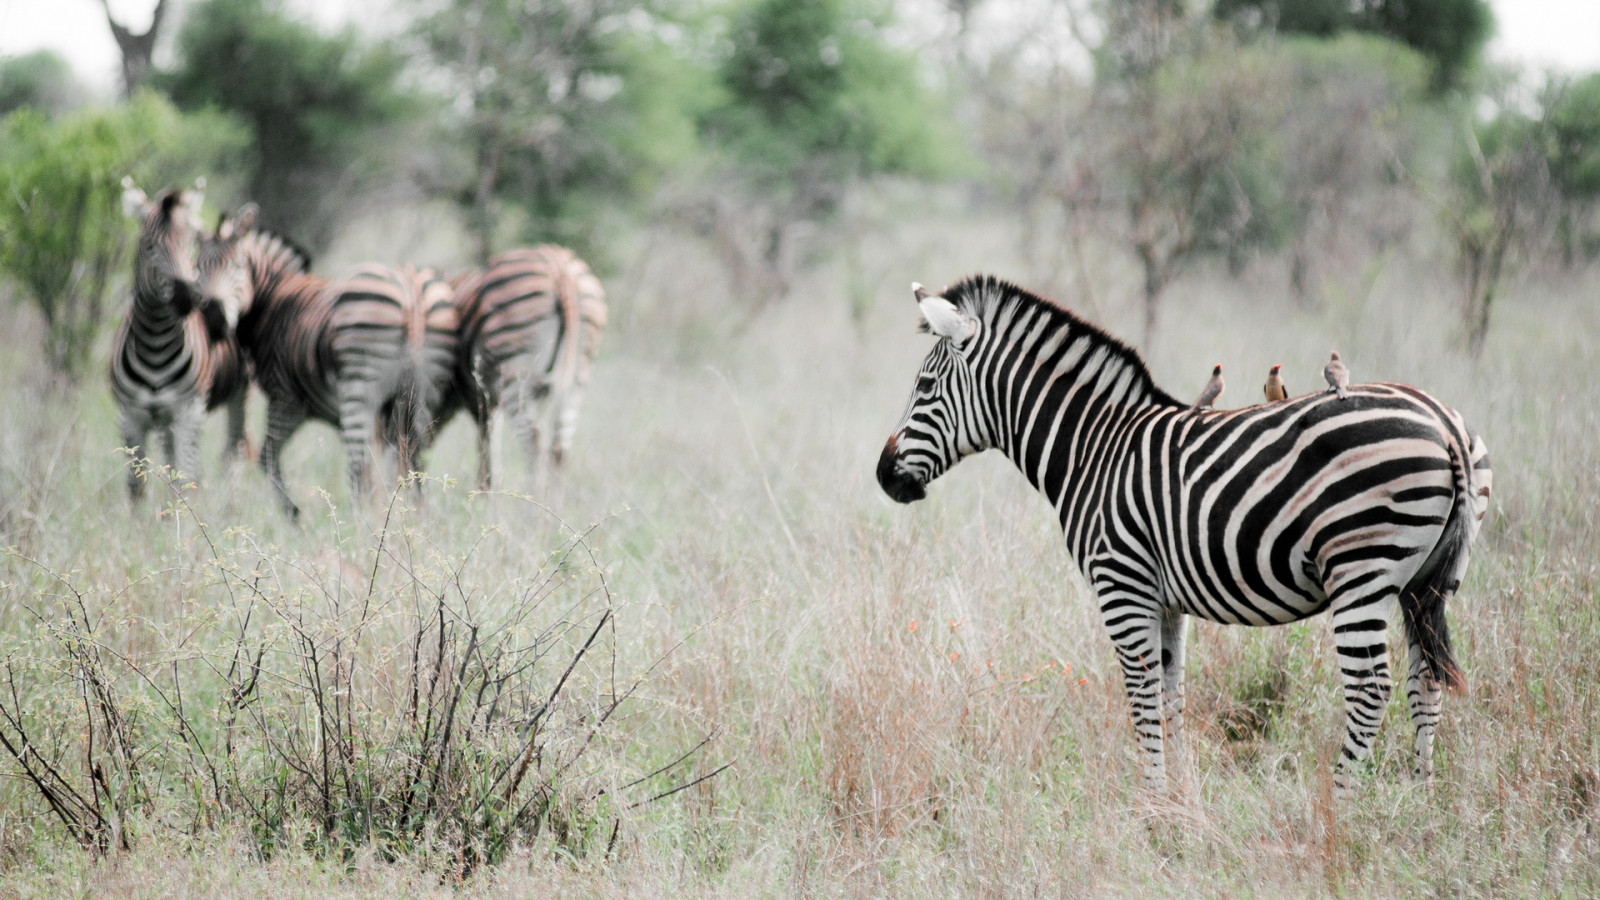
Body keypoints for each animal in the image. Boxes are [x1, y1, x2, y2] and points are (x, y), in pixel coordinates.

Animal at [110, 179, 251, 502]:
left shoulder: (188, 411)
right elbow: (136, 485)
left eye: (189, 246)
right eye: (150, 246)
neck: (154, 344)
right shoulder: (130, 415)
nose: (186, 298)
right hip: (164, 422)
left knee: (234, 452)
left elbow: (188, 476)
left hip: (237, 394)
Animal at [198, 205, 459, 519]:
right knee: (415, 457)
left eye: (236, 266)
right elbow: (389, 465)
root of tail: (411, 288)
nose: (213, 315)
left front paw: (293, 514)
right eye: (198, 268)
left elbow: (267, 456)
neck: (272, 300)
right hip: (425, 391)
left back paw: (357, 522)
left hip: (358, 386)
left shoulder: (287, 400)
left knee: (359, 466)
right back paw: (417, 518)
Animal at [449, 245, 607, 490]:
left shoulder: (481, 399)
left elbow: (486, 452)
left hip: (515, 374)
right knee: (558, 450)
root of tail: (562, 273)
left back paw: (533, 502)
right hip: (577, 377)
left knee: (534, 444)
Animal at [877, 275, 1493, 793]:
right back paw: (1420, 799)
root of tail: (1444, 426)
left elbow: (1142, 695)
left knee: (1370, 689)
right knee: (1425, 680)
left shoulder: (1121, 583)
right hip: (1429, 579)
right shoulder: (1166, 599)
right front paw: (1179, 802)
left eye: (925, 386)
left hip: (1362, 566)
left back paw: (1338, 808)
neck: (1093, 449)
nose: (884, 476)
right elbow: (1172, 694)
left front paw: (1152, 806)